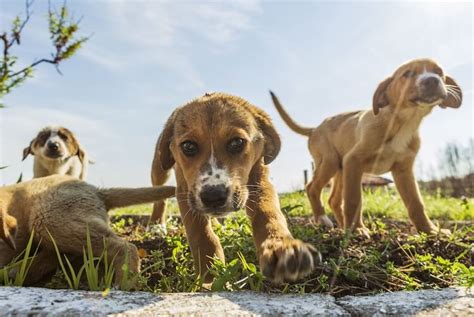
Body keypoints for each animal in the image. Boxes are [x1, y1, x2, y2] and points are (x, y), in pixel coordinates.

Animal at [0, 174, 174, 286]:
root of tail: (98, 191)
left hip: (47, 216)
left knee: (125, 246)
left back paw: (125, 285)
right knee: (60, 253)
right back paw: (15, 271)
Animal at [150, 92, 316, 282]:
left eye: (237, 143)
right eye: (188, 146)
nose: (213, 197)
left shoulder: (260, 181)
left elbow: (268, 213)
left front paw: (281, 246)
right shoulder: (186, 190)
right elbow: (198, 230)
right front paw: (209, 266)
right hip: (159, 169)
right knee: (160, 196)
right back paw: (156, 225)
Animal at [270, 58, 462, 235]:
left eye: (439, 72)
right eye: (407, 74)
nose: (432, 80)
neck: (402, 122)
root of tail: (315, 128)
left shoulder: (403, 170)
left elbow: (416, 203)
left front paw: (430, 230)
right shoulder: (354, 161)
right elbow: (354, 199)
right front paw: (357, 230)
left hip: (341, 169)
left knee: (334, 200)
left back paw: (342, 226)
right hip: (330, 162)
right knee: (312, 188)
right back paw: (324, 220)